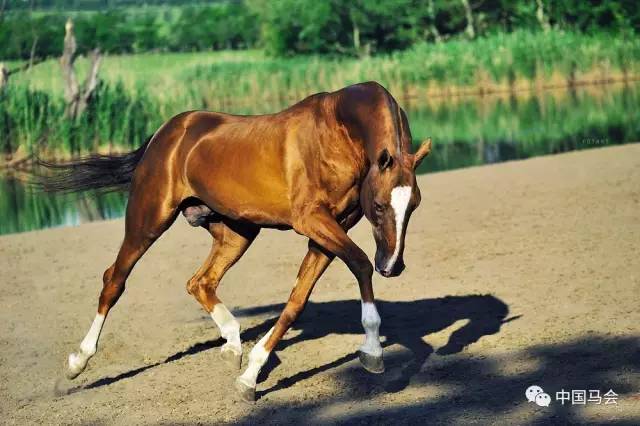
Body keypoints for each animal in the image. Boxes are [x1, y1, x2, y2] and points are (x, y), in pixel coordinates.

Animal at [46, 81, 430, 402]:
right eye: (378, 205)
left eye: (415, 204)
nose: (392, 266)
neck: (338, 130)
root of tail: (164, 133)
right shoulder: (311, 221)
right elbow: (361, 264)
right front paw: (373, 351)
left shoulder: (333, 228)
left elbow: (296, 301)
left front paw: (250, 376)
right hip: (149, 221)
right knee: (115, 280)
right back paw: (77, 363)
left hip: (238, 233)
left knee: (200, 282)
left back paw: (232, 344)